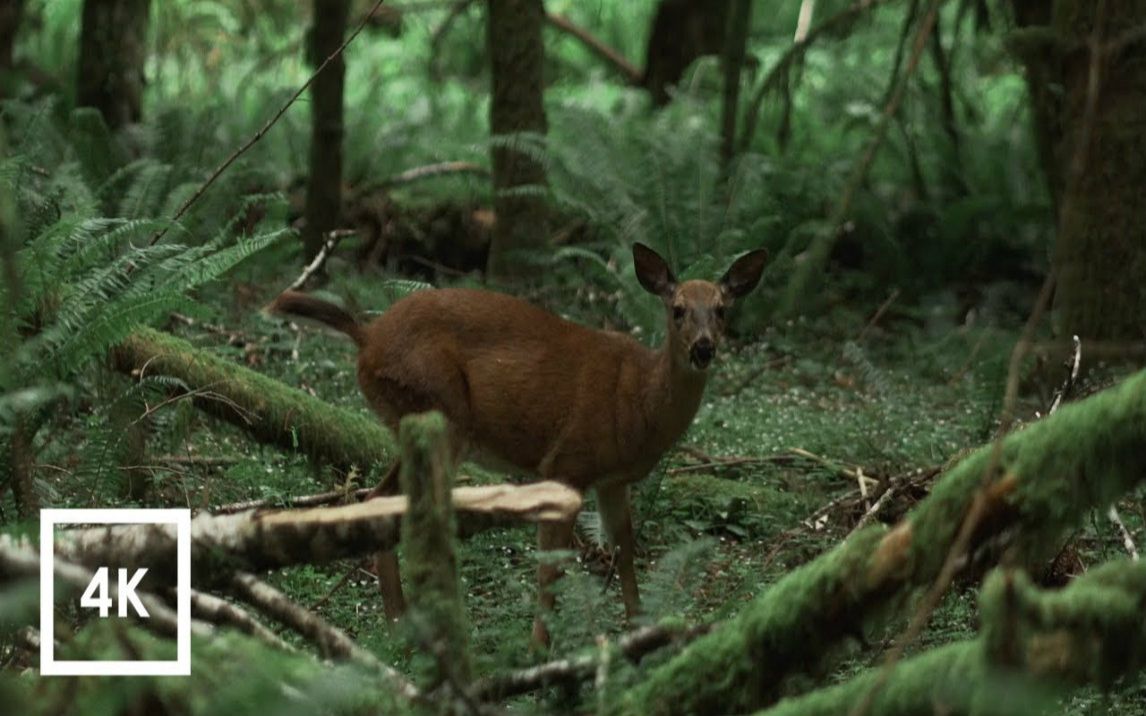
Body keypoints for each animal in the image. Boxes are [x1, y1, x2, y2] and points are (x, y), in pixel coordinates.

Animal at [268, 242, 765, 646]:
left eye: (722, 309)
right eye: (677, 309)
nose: (703, 348)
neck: (639, 400)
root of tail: (368, 337)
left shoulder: (611, 480)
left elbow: (625, 549)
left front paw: (643, 632)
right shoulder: (567, 462)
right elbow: (551, 567)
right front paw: (539, 651)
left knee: (378, 498)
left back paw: (399, 629)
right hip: (440, 407)